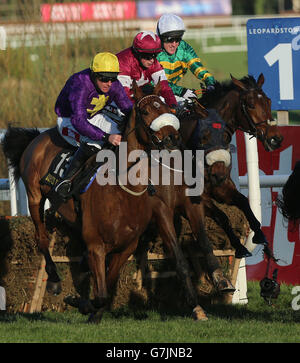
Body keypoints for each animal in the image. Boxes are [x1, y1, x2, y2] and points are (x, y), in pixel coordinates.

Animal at [1, 82, 230, 322]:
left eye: (169, 108)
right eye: (146, 111)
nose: (172, 139)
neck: (121, 190)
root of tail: (37, 137)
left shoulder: (127, 246)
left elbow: (107, 288)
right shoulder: (99, 243)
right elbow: (102, 293)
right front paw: (79, 302)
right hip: (35, 196)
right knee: (42, 238)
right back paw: (54, 279)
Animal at [179, 73, 284, 256]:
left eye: (269, 101)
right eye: (250, 105)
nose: (275, 139)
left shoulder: (222, 187)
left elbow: (244, 202)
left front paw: (259, 235)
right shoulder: (197, 196)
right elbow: (222, 217)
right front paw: (240, 247)